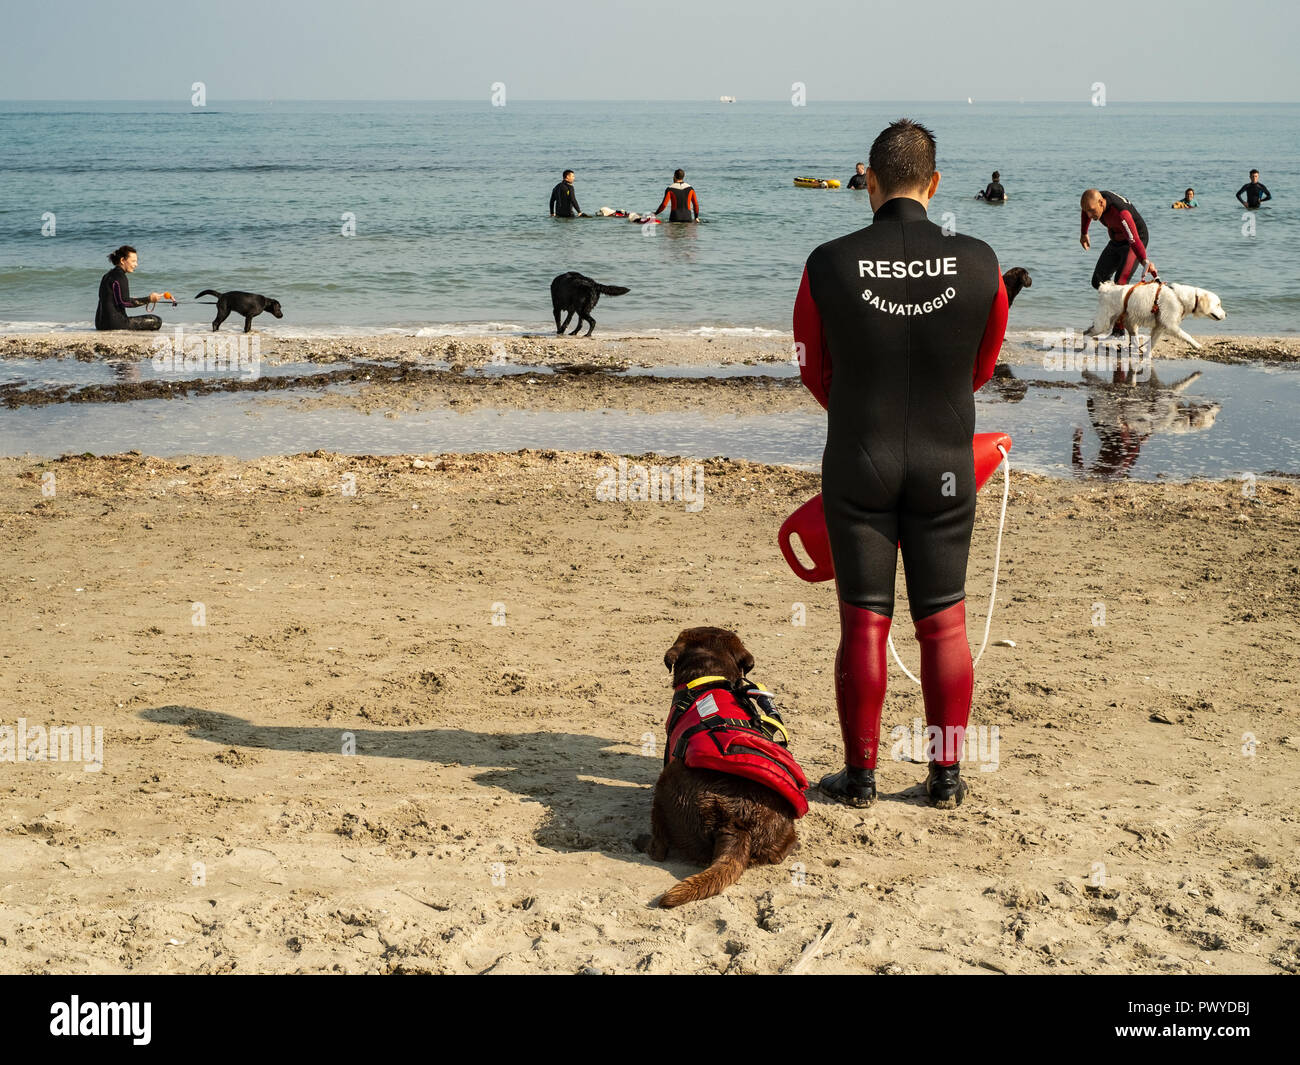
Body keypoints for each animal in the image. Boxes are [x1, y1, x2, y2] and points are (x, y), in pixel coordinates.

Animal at [1086, 279, 1227, 353]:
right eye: (1218, 304)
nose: (1226, 314)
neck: (1180, 298)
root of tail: (1105, 289)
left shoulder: (1160, 326)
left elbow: (1153, 341)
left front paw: (1148, 353)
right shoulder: (1171, 325)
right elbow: (1186, 335)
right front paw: (1197, 345)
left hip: (1130, 323)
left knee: (1134, 338)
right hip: (1103, 323)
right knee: (1087, 332)